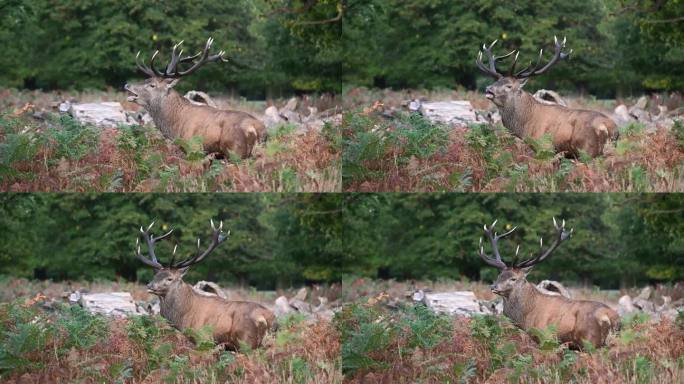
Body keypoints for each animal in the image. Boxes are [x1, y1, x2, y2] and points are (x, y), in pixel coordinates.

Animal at [124, 38, 266, 158]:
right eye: (146, 79)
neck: (175, 127)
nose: (127, 84)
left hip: (235, 151)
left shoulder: (194, 148)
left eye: (152, 85)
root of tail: (257, 129)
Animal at [135, 220, 274, 350]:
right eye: (155, 275)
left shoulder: (203, 338)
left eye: (170, 278)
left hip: (246, 341)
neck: (184, 317)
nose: (149, 285)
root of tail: (268, 319)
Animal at [476, 218, 620, 350]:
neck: (526, 316)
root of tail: (611, 317)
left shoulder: (546, 338)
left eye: (513, 278)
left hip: (590, 341)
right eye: (499, 275)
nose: (493, 287)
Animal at [478, 36, 616, 156]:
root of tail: (611, 128)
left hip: (587, 150)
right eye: (497, 81)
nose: (488, 89)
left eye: (509, 86)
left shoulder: (544, 147)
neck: (526, 127)